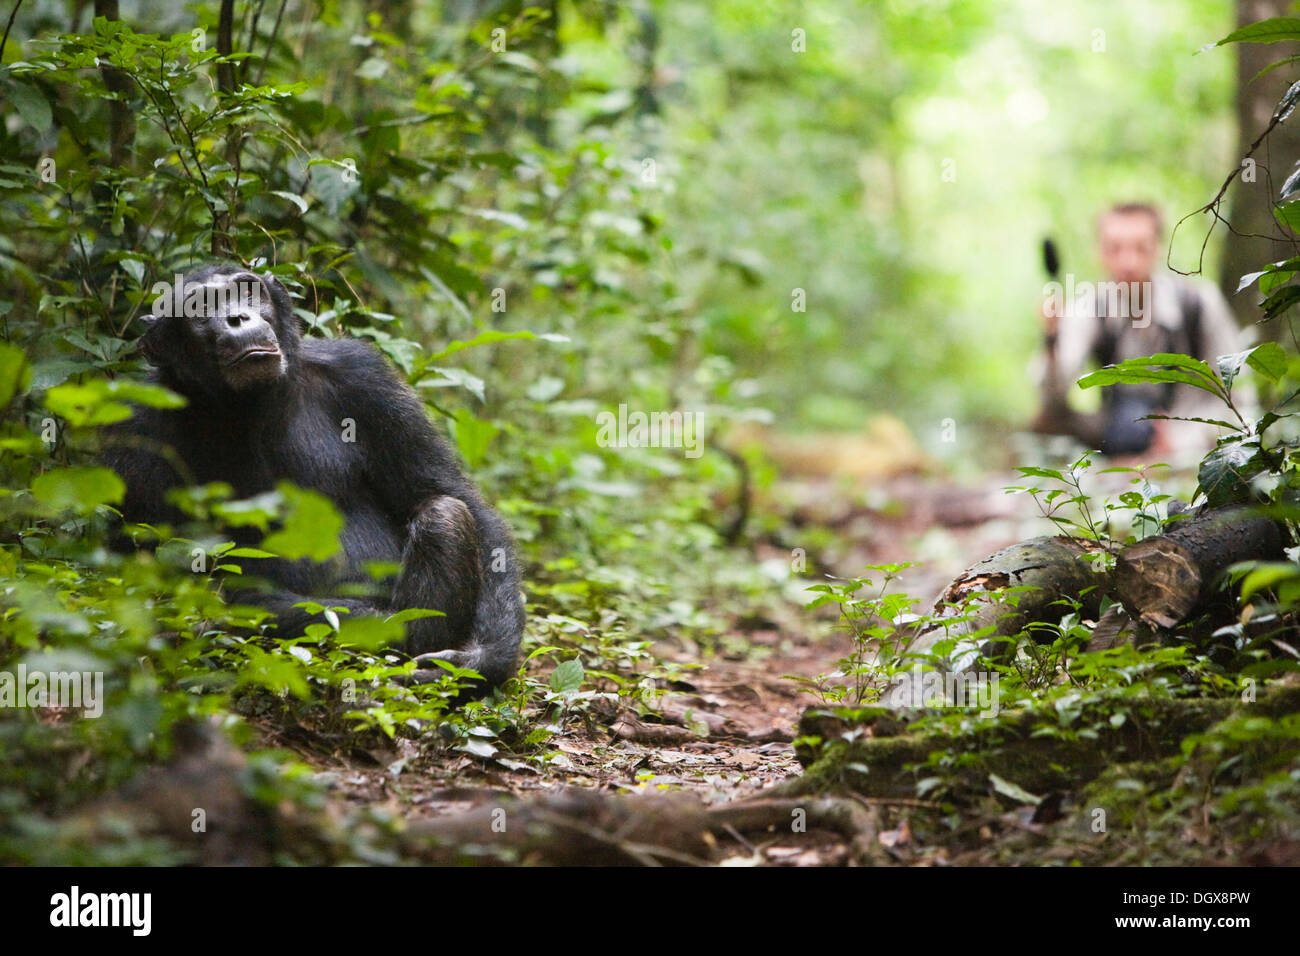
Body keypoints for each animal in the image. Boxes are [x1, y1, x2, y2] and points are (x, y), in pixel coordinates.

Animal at [102, 265, 522, 691]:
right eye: (201, 308)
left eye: (247, 291)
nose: (237, 317)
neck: (248, 404)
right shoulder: (132, 424)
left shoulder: (365, 377)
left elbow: (445, 492)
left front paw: (480, 659)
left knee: (444, 513)